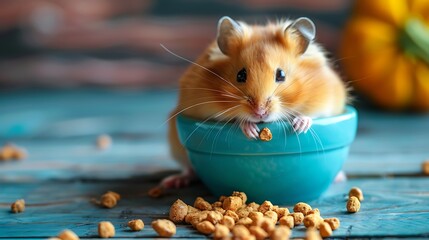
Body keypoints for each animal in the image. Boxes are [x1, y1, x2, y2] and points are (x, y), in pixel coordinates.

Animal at [162, 15, 346, 188]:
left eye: (281, 74)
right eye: (240, 75)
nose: (260, 113)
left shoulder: (326, 100)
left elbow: (313, 114)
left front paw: (300, 126)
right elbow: (235, 118)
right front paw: (250, 131)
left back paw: (340, 177)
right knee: (189, 169)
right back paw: (173, 181)